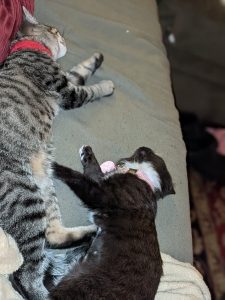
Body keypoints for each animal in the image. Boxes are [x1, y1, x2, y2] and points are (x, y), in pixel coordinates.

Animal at [0, 7, 113, 300]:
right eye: (54, 29)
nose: (63, 36)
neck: (26, 46)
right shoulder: (66, 89)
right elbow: (89, 89)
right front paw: (107, 85)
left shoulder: (68, 80)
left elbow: (80, 70)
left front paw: (96, 58)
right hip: (25, 199)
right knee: (27, 274)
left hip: (43, 186)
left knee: (52, 235)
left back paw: (93, 230)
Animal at [50, 146, 175, 298]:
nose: (144, 147)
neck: (144, 176)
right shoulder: (100, 182)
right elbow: (93, 170)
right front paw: (87, 152)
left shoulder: (100, 194)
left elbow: (78, 178)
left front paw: (53, 166)